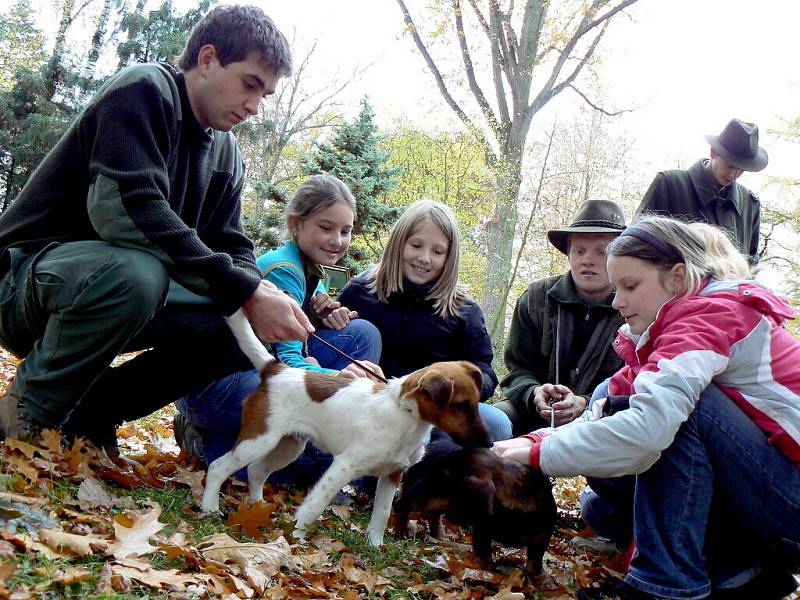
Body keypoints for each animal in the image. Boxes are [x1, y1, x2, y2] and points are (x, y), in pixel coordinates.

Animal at [202, 310, 488, 544]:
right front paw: (297, 535)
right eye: (460, 406)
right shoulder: (344, 466)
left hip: (288, 446)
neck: (403, 415)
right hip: (259, 440)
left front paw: (375, 545)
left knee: (256, 470)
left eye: (475, 403)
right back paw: (209, 508)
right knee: (218, 467)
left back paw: (258, 507)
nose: (487, 443)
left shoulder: (392, 475)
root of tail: (276, 369)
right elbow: (316, 504)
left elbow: (382, 514)